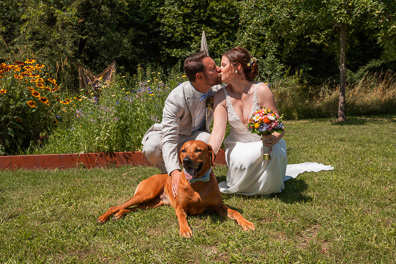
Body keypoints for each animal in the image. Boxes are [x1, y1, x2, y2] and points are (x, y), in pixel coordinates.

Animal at [97, 140, 255, 237]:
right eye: (183, 150)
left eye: (198, 150)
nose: (186, 161)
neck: (197, 183)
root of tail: (151, 176)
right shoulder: (180, 208)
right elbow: (181, 217)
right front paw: (185, 229)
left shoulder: (219, 206)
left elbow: (235, 212)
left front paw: (246, 223)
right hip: (145, 194)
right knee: (116, 206)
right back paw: (104, 217)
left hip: (151, 203)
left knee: (129, 208)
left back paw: (119, 214)